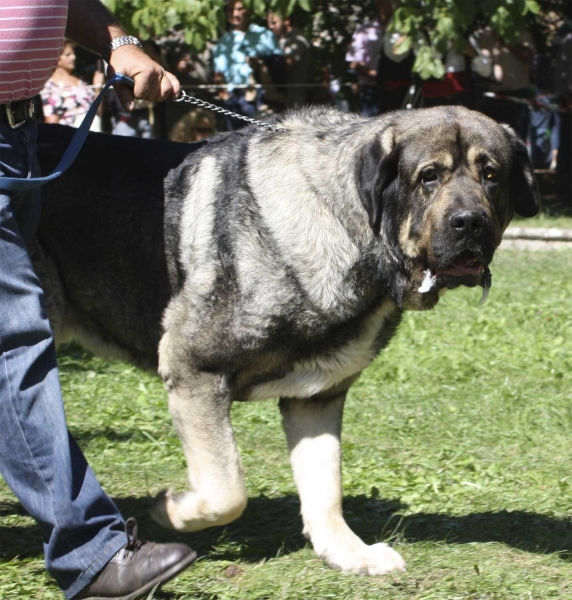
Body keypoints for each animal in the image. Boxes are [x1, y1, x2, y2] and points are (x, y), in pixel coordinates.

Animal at [34, 106, 536, 576]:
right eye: (429, 176)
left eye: (491, 175)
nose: (470, 223)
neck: (351, 231)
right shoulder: (193, 367)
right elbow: (227, 488)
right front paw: (174, 510)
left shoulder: (317, 397)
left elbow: (325, 485)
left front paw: (348, 552)